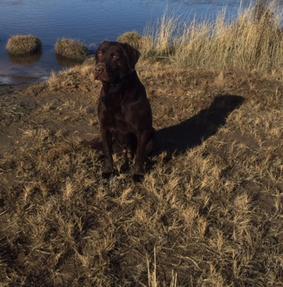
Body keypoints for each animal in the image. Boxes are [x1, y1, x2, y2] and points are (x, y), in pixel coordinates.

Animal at [95, 41, 155, 180]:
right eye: (100, 53)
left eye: (115, 56)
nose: (98, 69)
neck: (115, 91)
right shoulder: (104, 128)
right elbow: (107, 152)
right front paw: (108, 171)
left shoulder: (142, 130)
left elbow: (139, 155)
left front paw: (138, 174)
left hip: (151, 136)